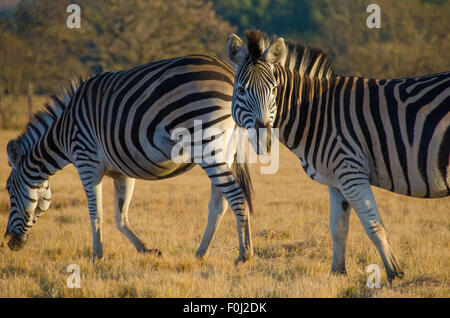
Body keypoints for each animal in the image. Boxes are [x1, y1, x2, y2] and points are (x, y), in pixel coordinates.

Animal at [1, 54, 255, 264]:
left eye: (9, 191)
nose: (9, 242)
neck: (63, 131)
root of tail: (231, 72)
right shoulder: (122, 171)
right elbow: (120, 217)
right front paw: (147, 249)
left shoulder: (86, 161)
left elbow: (96, 214)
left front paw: (97, 256)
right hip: (226, 150)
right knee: (219, 203)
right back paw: (201, 253)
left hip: (205, 143)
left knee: (235, 195)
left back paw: (245, 254)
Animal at [227, 30, 448, 280]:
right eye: (241, 90)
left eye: (274, 90)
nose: (263, 138)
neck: (317, 114)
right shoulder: (337, 180)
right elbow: (338, 228)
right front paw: (338, 274)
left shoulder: (351, 171)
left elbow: (374, 226)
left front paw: (395, 274)